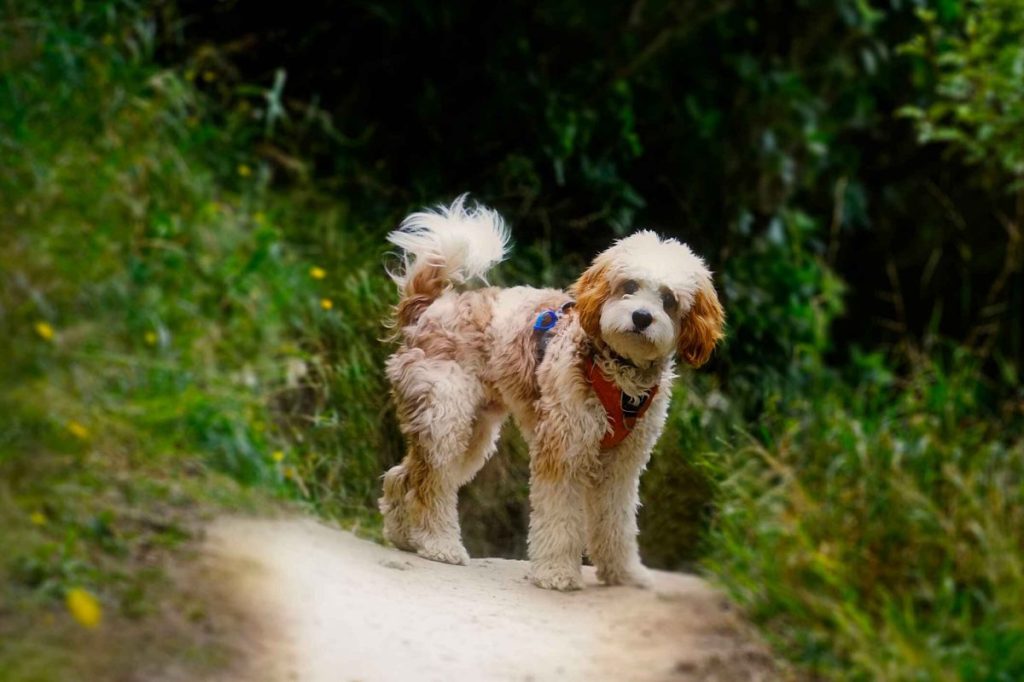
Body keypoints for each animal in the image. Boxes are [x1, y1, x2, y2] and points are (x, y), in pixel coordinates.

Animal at [380, 193, 724, 585]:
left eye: (668, 299)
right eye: (629, 287)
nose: (641, 317)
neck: (619, 374)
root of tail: (429, 308)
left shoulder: (623, 464)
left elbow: (616, 521)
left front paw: (623, 572)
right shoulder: (564, 448)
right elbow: (560, 517)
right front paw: (556, 572)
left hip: (470, 433)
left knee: (403, 475)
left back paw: (403, 535)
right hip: (445, 418)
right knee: (431, 483)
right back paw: (440, 544)